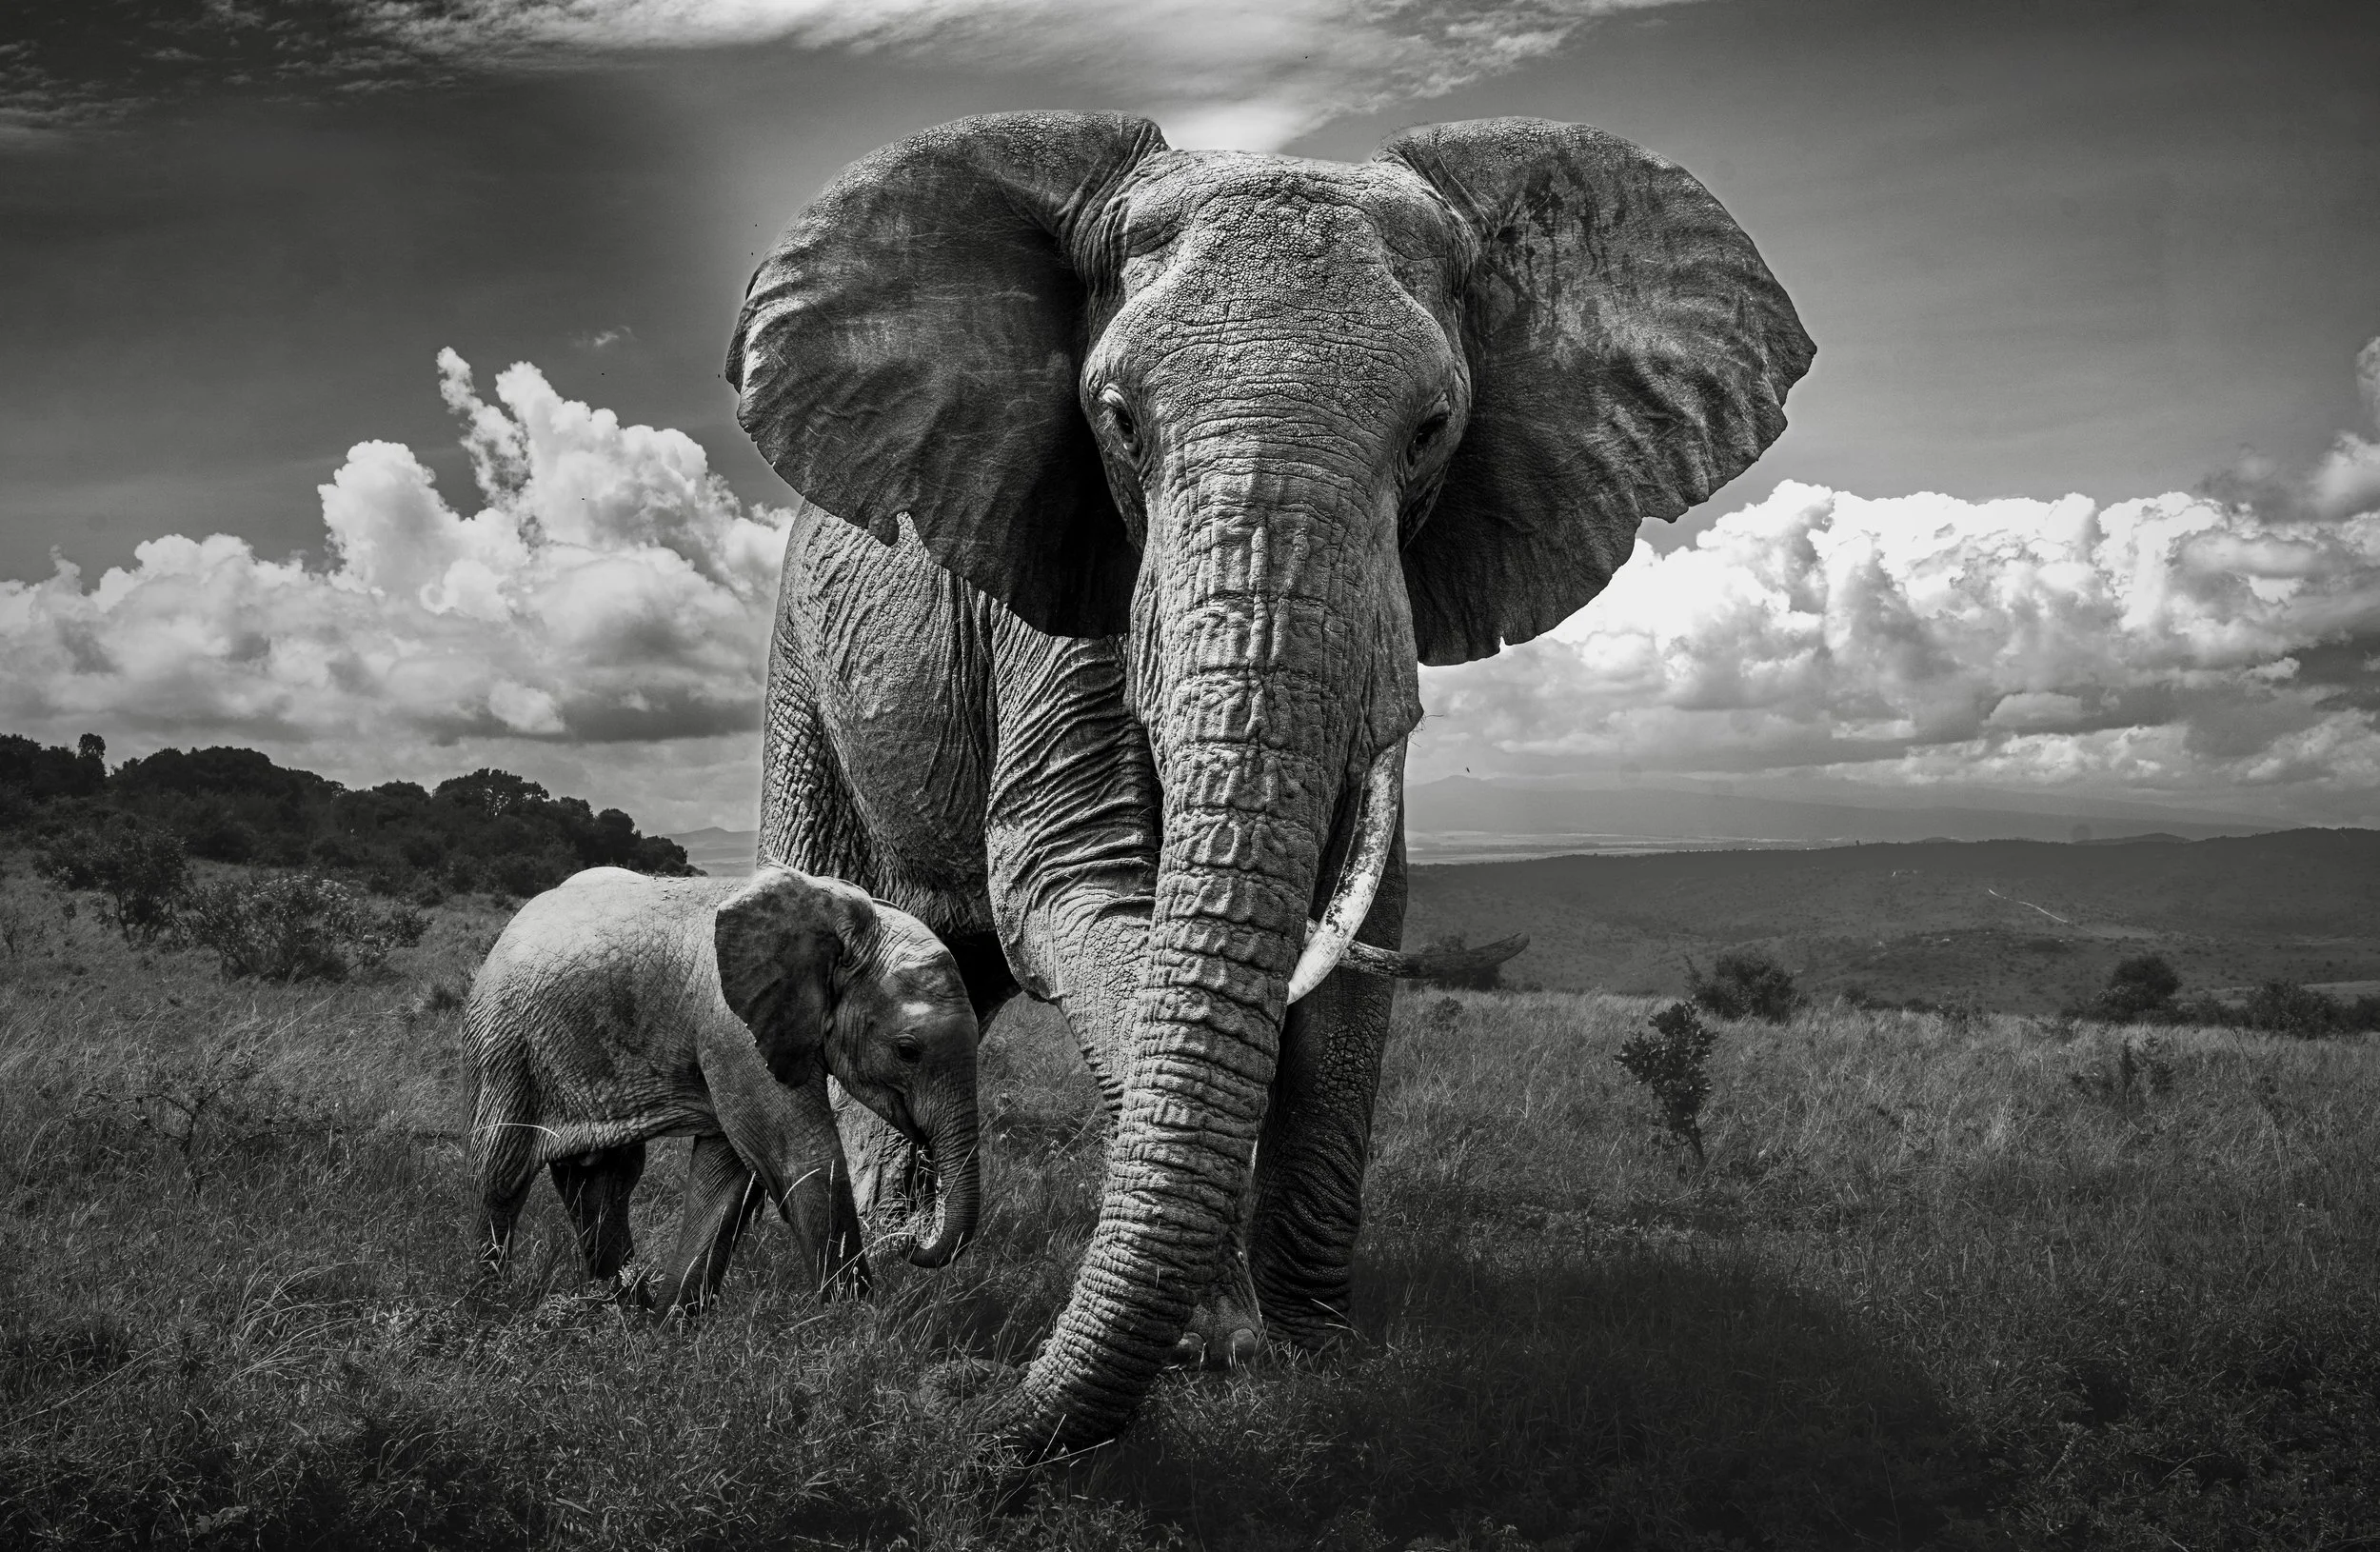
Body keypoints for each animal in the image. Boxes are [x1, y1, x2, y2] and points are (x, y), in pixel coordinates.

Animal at [466, 865, 981, 1313]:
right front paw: (855, 1323)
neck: (841, 914)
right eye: (907, 1050)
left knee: (604, 1181)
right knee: (500, 1173)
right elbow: (800, 1154)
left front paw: (672, 1326)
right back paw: (487, 1306)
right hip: (502, 1042)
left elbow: (727, 1176)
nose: (909, 1242)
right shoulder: (734, 1026)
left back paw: (626, 1310)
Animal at [726, 112, 1813, 1453]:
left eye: (1431, 430)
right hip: (799, 675)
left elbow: (1363, 927)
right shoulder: (1066, 569)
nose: (989, 1430)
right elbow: (1078, 887)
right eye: (1117, 422)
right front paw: (1218, 1342)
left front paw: (1312, 1356)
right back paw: (878, 1279)